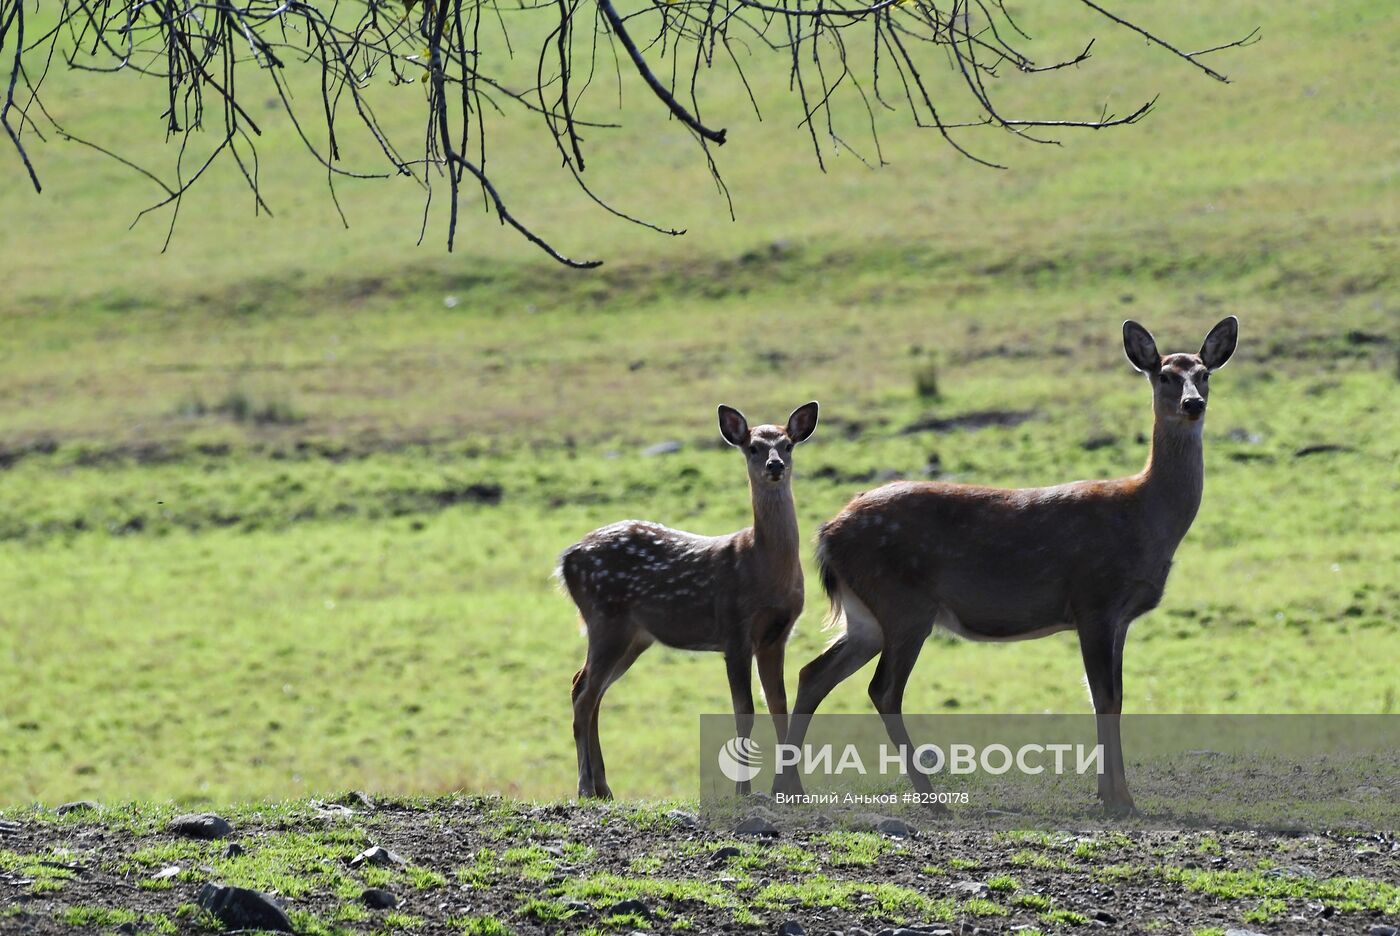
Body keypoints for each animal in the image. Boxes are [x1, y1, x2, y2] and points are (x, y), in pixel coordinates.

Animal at [560, 400, 817, 794]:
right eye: (752, 447)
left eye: (787, 445)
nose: (775, 466)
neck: (764, 566)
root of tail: (566, 560)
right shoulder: (734, 630)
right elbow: (744, 711)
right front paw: (743, 791)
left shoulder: (777, 635)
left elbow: (779, 706)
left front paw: (792, 789)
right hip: (605, 619)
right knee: (585, 694)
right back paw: (586, 787)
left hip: (633, 636)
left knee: (586, 687)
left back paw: (603, 787)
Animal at [778, 318, 1237, 811]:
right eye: (1165, 375)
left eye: (1204, 373)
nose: (1193, 403)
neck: (1146, 517)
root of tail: (827, 533)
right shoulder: (1094, 598)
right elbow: (1105, 698)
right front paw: (1120, 799)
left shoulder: (1119, 616)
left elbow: (1111, 698)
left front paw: (1107, 793)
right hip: (903, 603)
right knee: (883, 689)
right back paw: (931, 797)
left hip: (866, 615)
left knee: (813, 674)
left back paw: (789, 788)